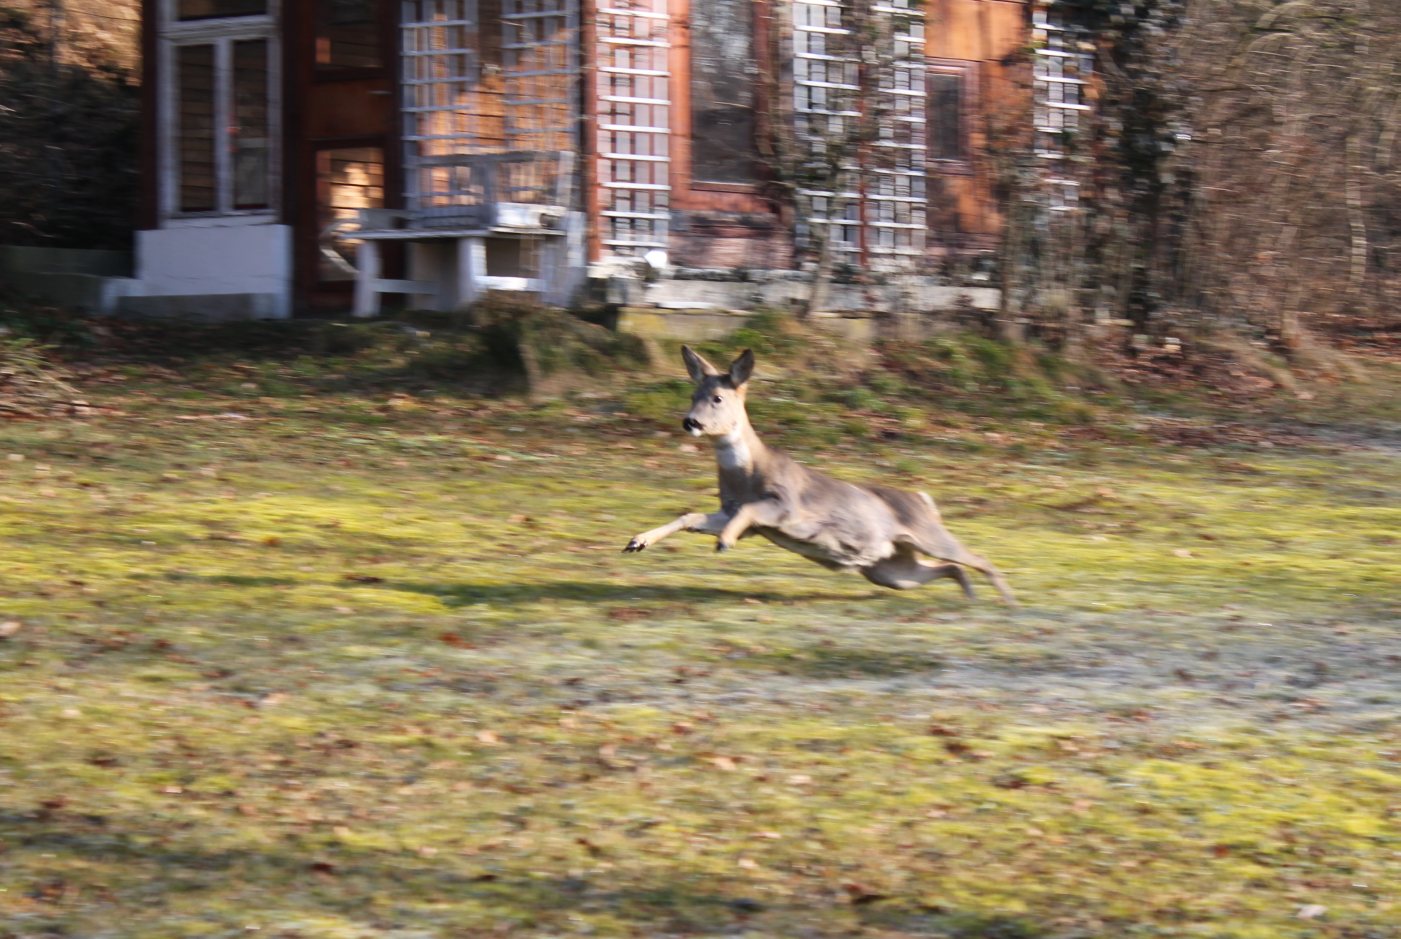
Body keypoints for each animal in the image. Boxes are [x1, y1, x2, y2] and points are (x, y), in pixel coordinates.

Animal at [624, 348, 1019, 608]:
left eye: (718, 398)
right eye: (694, 393)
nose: (689, 421)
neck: (747, 475)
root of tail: (924, 499)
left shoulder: (785, 506)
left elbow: (749, 512)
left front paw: (724, 542)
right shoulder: (733, 510)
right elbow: (691, 515)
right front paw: (637, 541)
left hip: (927, 536)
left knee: (978, 558)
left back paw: (1008, 604)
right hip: (891, 568)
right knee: (949, 568)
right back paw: (972, 599)